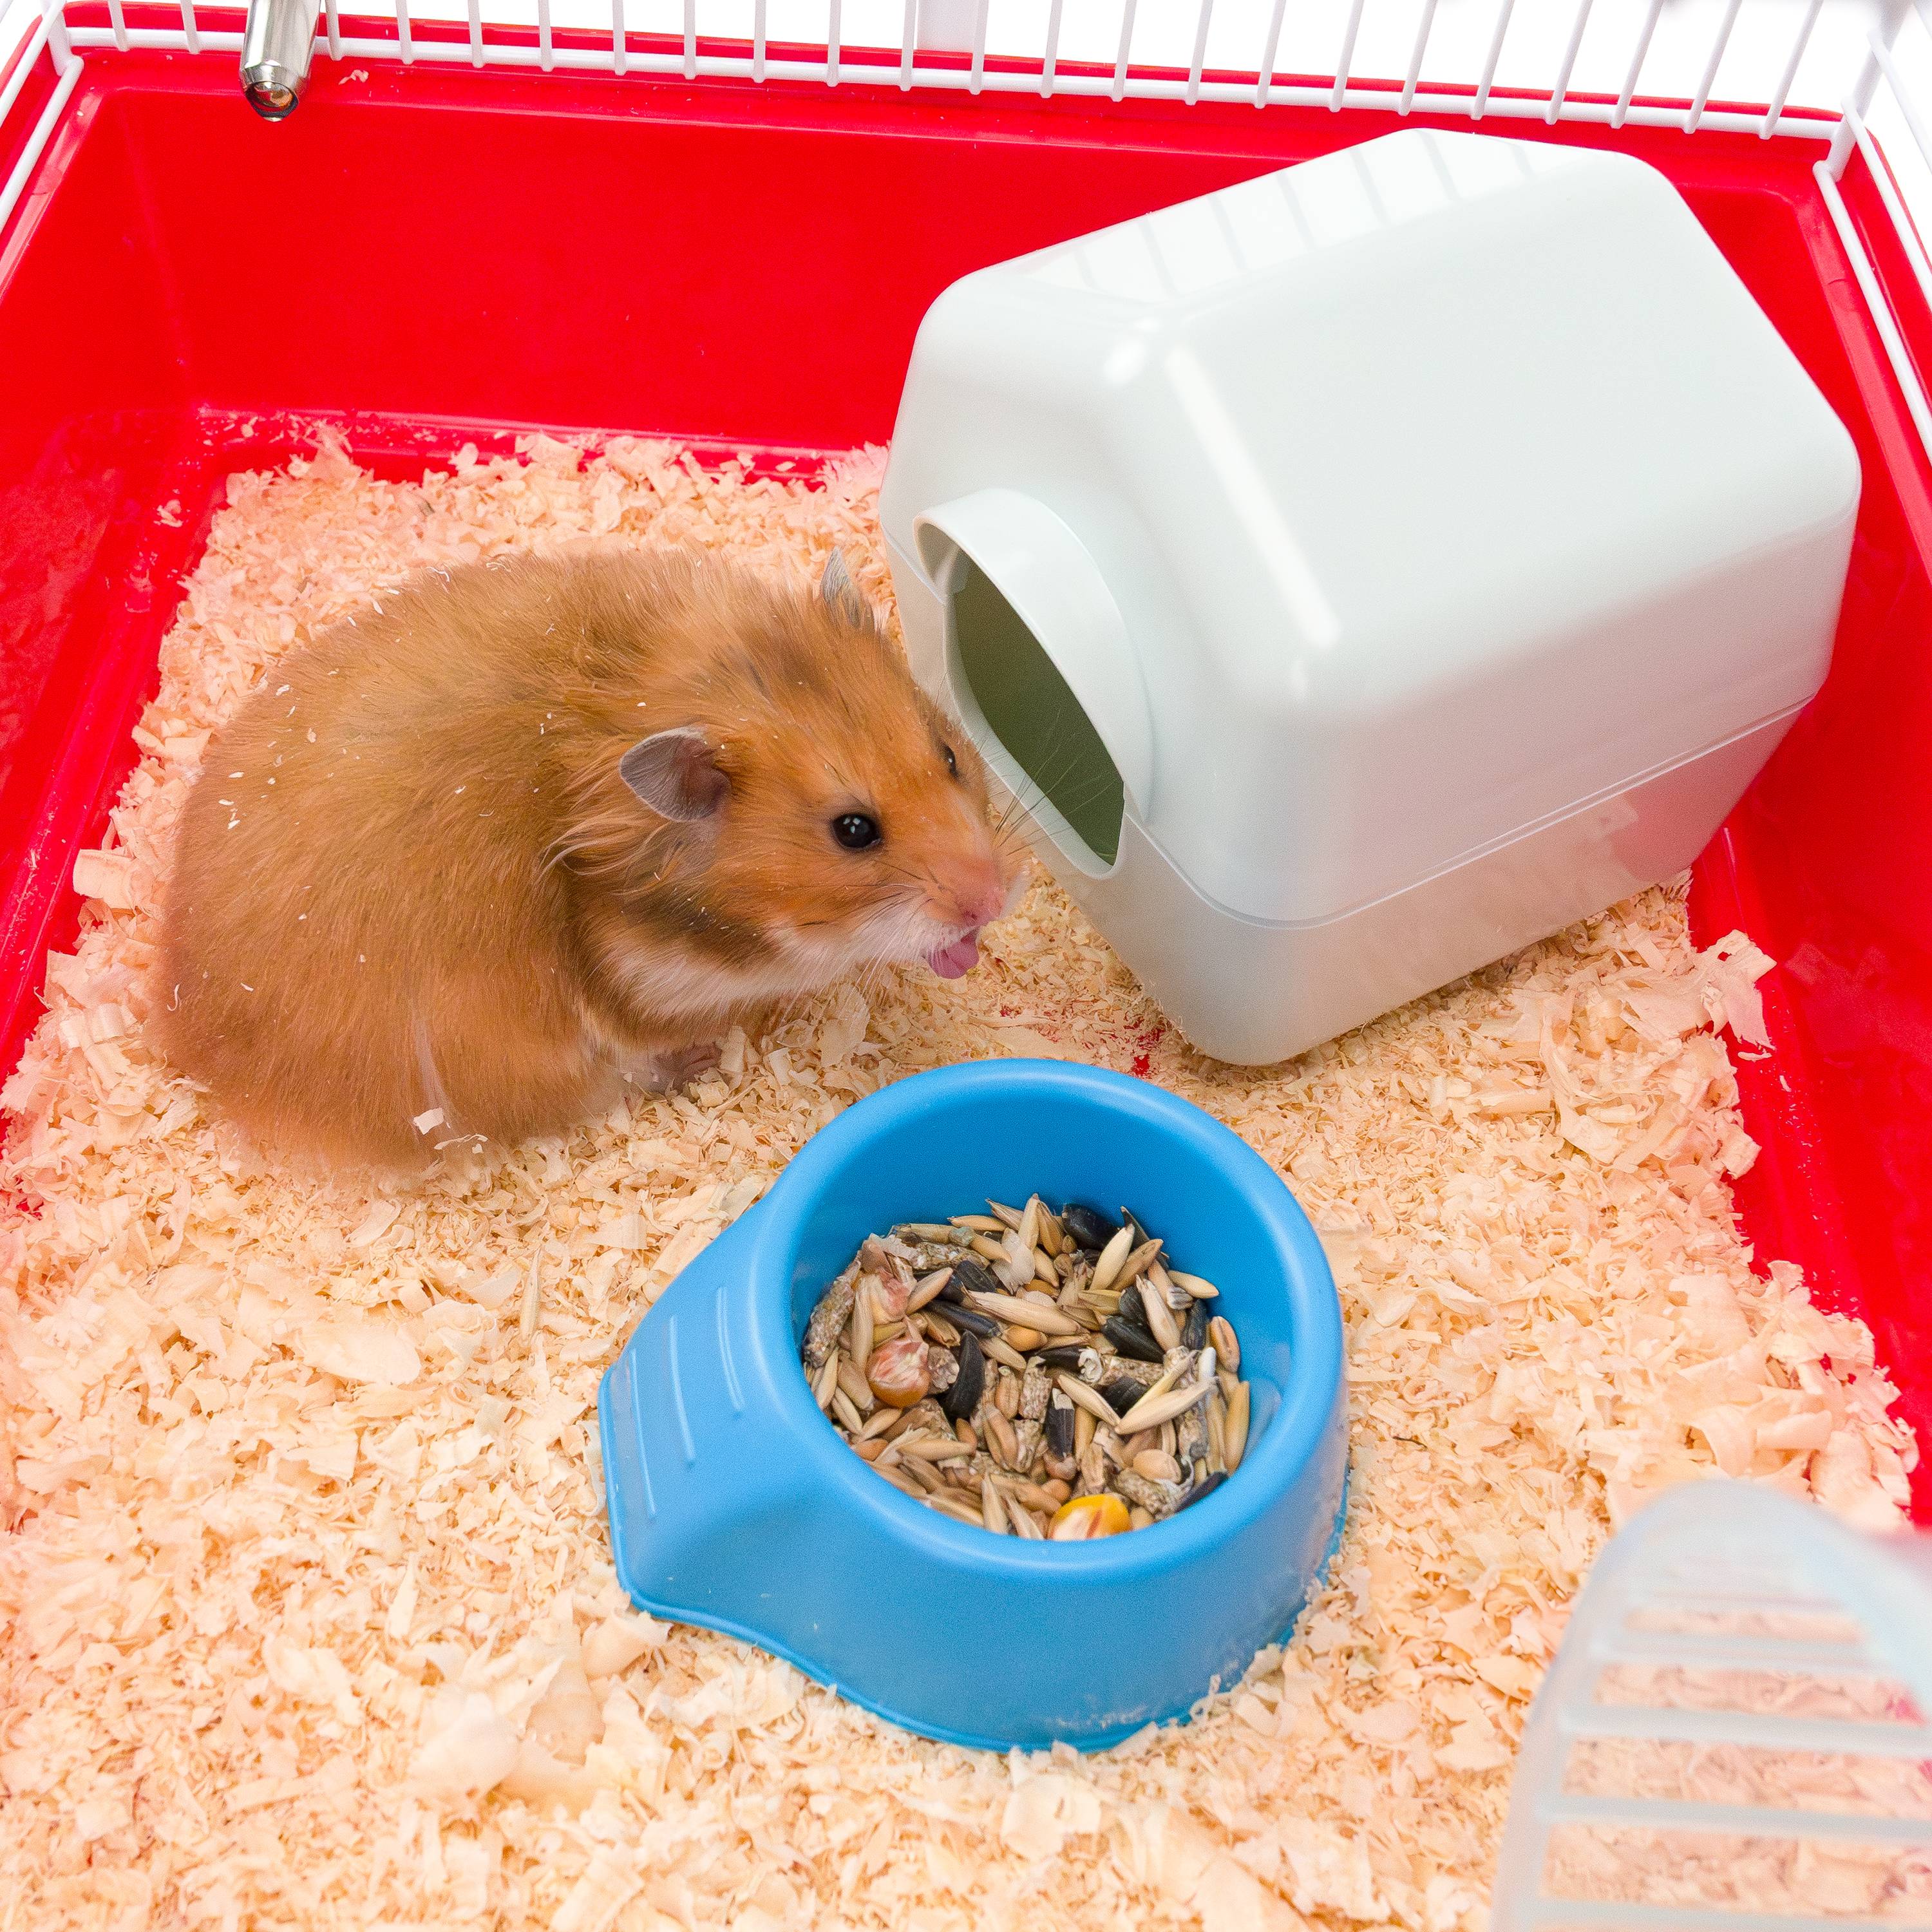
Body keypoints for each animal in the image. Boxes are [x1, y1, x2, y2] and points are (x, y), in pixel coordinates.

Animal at [155, 546, 1021, 1169]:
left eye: (949, 755)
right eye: (853, 831)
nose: (993, 900)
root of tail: (185, 1038)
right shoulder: (646, 989)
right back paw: (697, 1065)